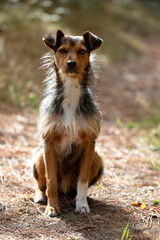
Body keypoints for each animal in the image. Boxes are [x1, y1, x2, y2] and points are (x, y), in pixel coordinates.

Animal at [33, 29, 104, 217]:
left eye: (82, 51)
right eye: (62, 50)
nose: (71, 63)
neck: (71, 94)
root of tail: (65, 187)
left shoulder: (89, 143)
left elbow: (83, 180)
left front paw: (82, 204)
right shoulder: (48, 142)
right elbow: (50, 181)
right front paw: (52, 207)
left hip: (97, 158)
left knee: (75, 187)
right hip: (39, 156)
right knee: (42, 184)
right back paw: (40, 196)